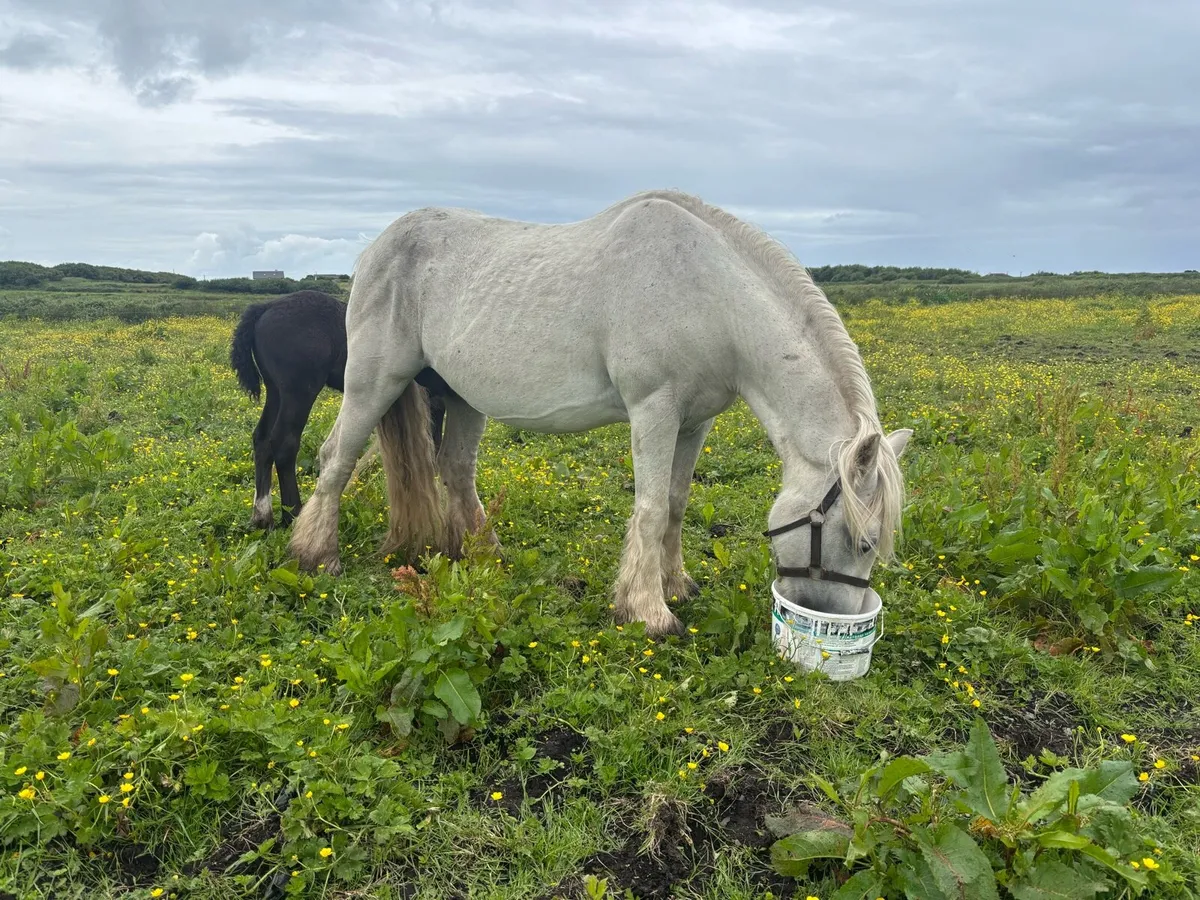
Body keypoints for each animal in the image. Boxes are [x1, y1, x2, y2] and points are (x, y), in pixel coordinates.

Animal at [229, 289, 450, 530]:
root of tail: (264, 307)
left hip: (276, 391)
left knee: (261, 438)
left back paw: (262, 516)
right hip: (299, 391)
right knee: (284, 442)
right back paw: (293, 515)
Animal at [288, 190, 912, 637]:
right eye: (863, 541)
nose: (837, 617)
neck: (708, 292)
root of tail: (377, 247)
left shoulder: (695, 421)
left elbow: (677, 503)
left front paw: (675, 584)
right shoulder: (654, 410)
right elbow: (652, 508)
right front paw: (648, 611)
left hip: (463, 398)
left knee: (455, 471)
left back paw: (488, 556)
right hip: (373, 382)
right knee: (335, 458)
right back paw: (314, 555)